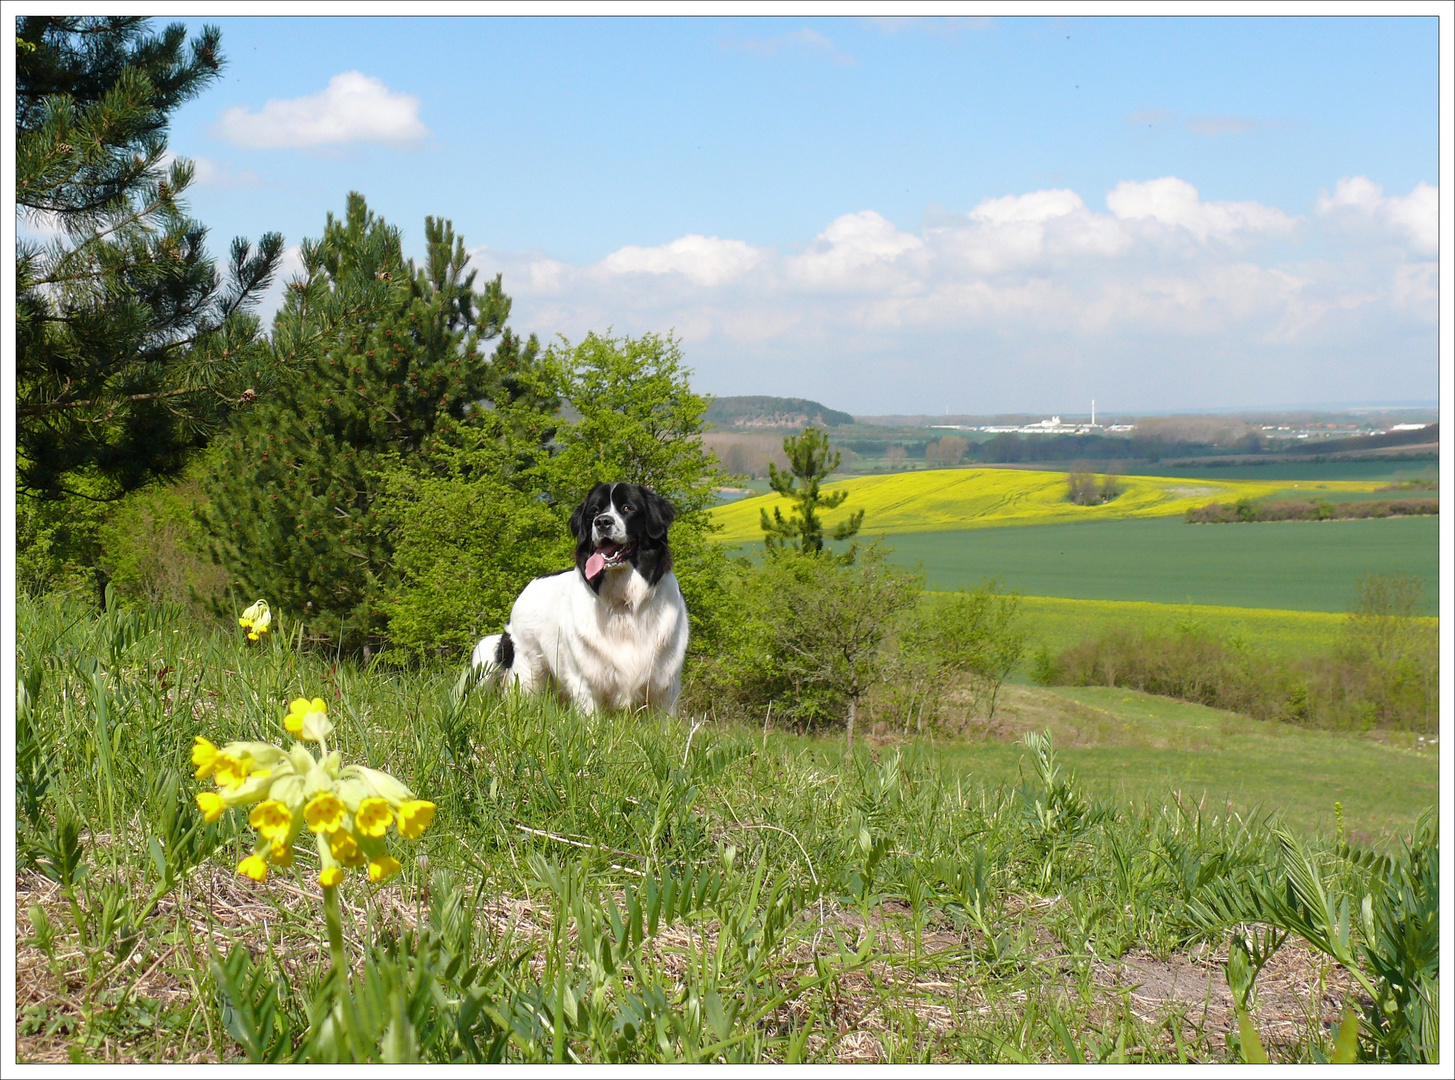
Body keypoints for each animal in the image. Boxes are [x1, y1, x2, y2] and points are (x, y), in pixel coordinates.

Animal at [468, 483, 689, 719]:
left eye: (627, 508)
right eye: (594, 511)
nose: (602, 522)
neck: (623, 602)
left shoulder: (665, 683)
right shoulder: (585, 678)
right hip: (527, 669)